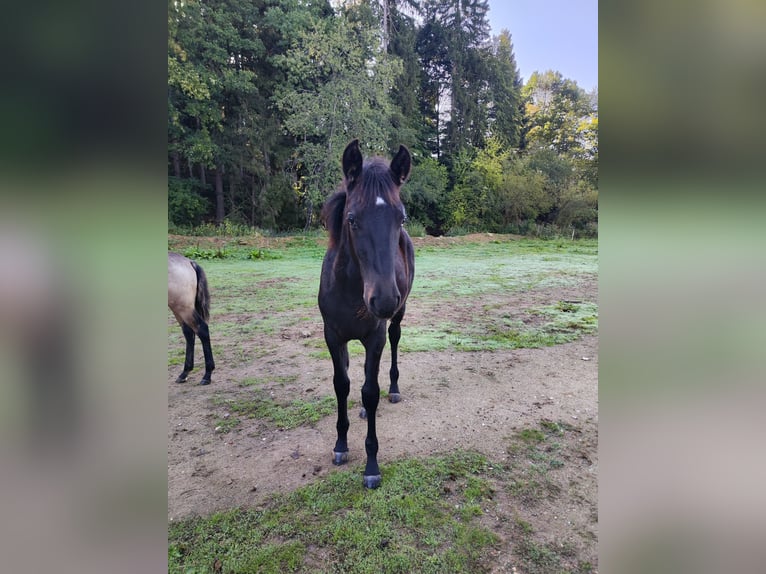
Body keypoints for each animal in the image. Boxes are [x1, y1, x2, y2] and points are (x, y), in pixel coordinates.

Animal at [168, 252, 215, 385]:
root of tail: (189, 262)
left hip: (183, 308)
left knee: (202, 330)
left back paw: (207, 375)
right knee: (189, 333)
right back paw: (184, 373)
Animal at [318, 139, 415, 489]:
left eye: (401, 218)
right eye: (352, 219)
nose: (383, 299)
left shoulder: (375, 335)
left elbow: (371, 392)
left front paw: (371, 465)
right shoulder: (332, 336)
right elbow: (342, 384)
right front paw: (340, 445)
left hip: (397, 318)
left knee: (396, 341)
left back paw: (395, 390)